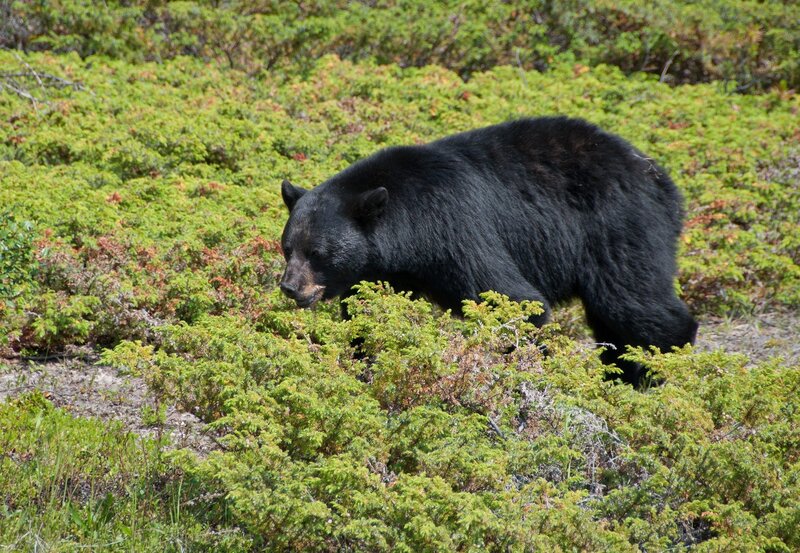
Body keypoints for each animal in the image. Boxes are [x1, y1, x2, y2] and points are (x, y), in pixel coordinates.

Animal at [279, 116, 698, 386]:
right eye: (288, 248)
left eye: (318, 252)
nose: (290, 287)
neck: (407, 232)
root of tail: (659, 177)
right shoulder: (385, 271)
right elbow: (371, 315)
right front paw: (363, 364)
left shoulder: (455, 229)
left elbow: (511, 299)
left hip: (618, 226)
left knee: (631, 300)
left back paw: (653, 372)